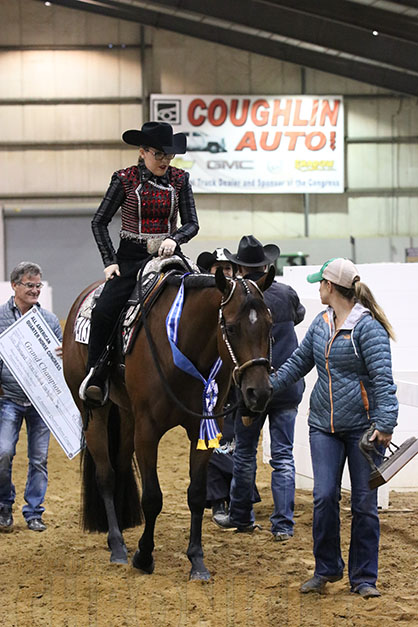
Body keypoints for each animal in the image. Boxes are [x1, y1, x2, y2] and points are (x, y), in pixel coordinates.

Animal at [62, 264, 274, 580]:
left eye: (269, 325)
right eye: (232, 327)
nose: (258, 393)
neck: (182, 346)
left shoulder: (202, 431)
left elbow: (196, 494)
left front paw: (197, 561)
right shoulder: (148, 431)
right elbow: (153, 497)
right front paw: (144, 556)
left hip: (127, 416)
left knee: (120, 467)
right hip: (95, 412)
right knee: (106, 475)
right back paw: (117, 545)